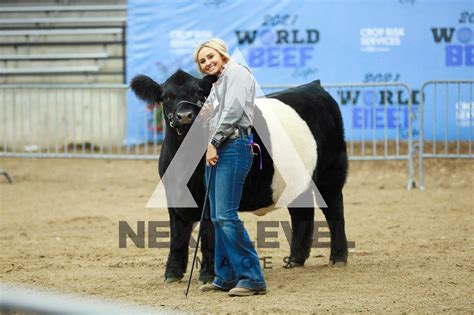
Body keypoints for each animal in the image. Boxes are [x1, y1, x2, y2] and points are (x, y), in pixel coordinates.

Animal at [130, 70, 348, 286]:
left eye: (199, 93)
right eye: (166, 96)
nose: (185, 116)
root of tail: (314, 85)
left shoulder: (212, 196)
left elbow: (208, 234)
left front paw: (208, 276)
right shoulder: (173, 194)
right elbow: (177, 234)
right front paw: (172, 274)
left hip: (331, 173)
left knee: (335, 212)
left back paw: (338, 258)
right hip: (298, 180)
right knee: (302, 213)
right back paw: (295, 260)